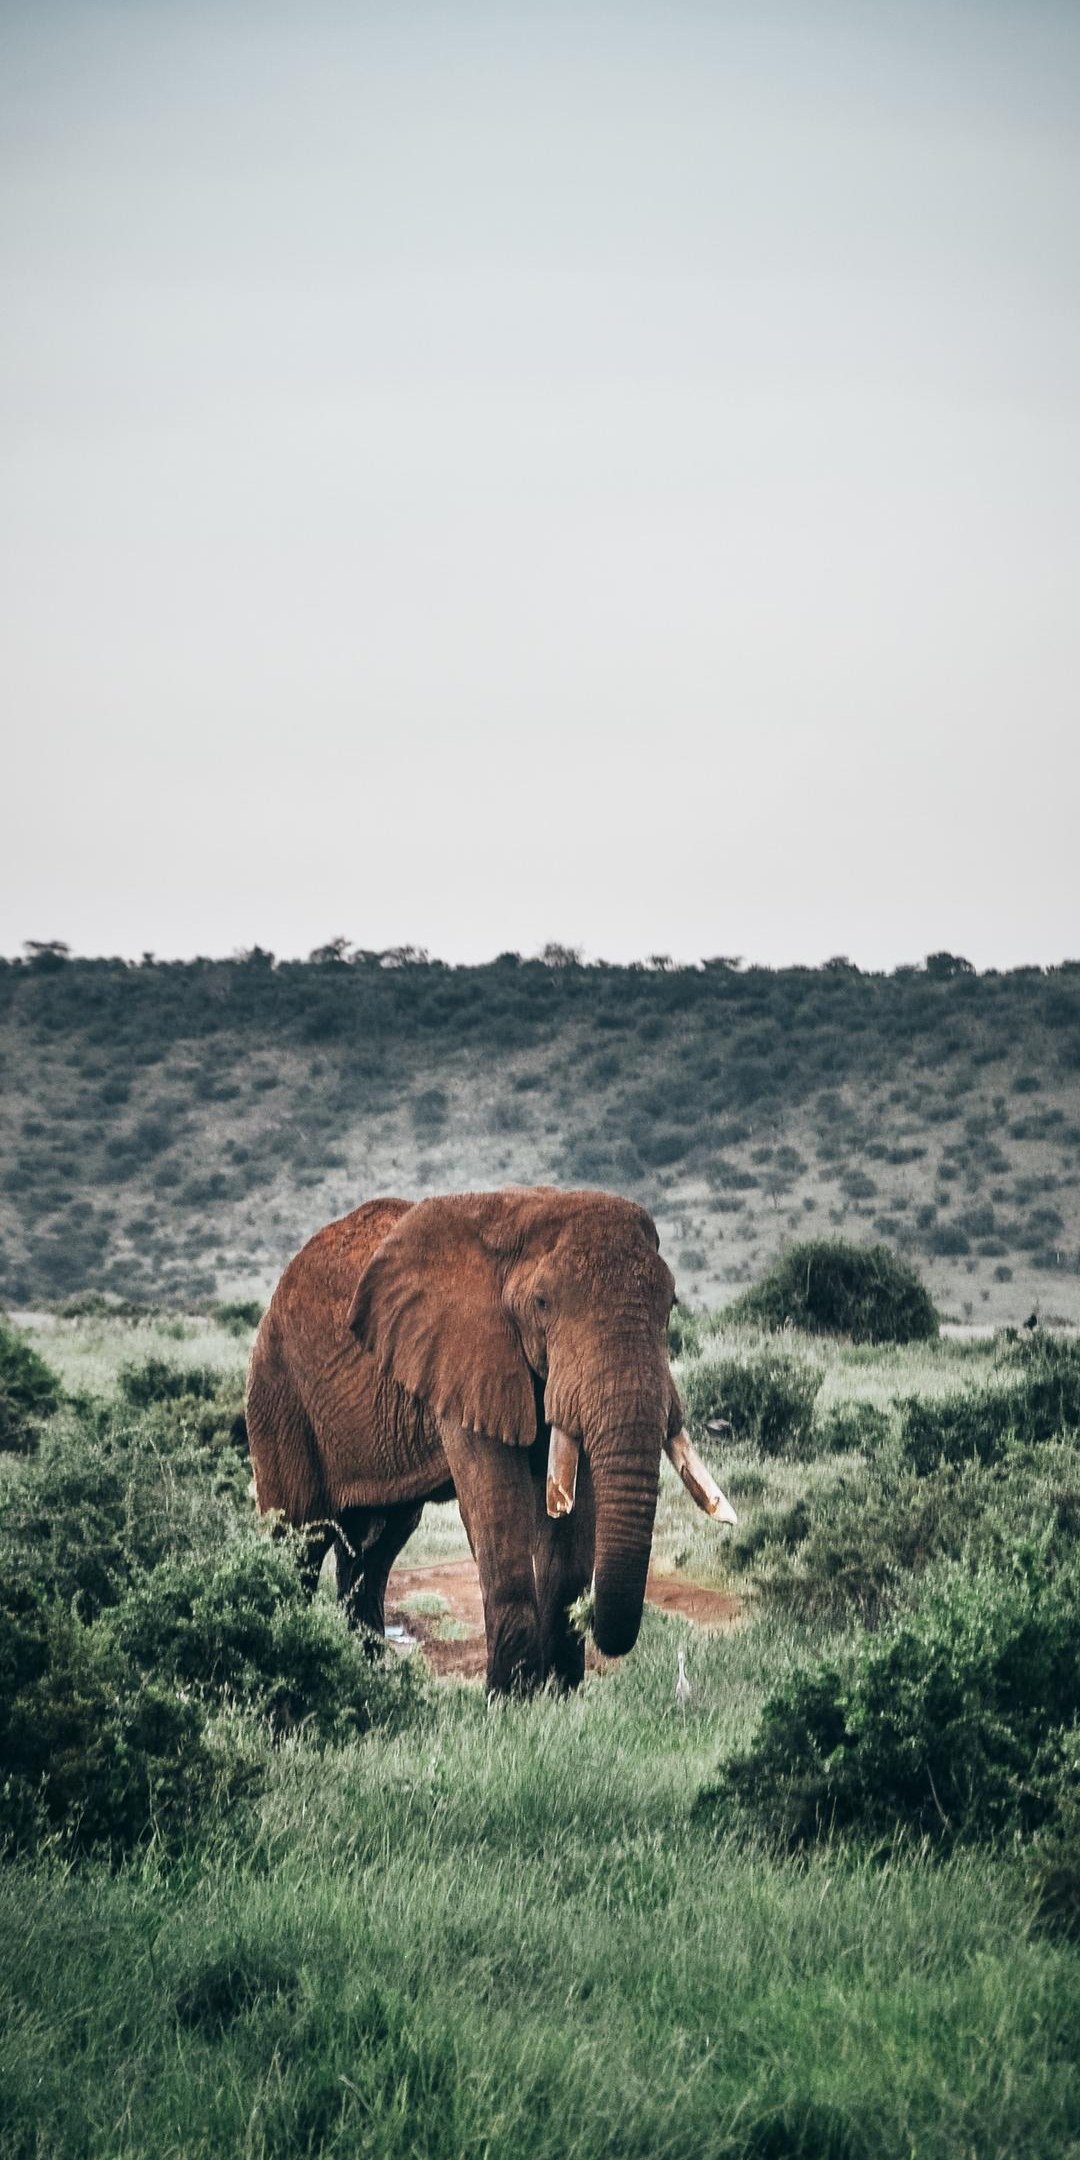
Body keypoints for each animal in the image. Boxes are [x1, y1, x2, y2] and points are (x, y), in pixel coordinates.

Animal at [245, 1192, 734, 1693]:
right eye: (542, 1303)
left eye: (670, 1303)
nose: (599, 1626)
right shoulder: (465, 1358)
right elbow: (498, 1506)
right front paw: (512, 1699)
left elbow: (574, 1518)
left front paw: (560, 1694)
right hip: (278, 1392)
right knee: (300, 1536)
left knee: (373, 1549)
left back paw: (370, 1676)